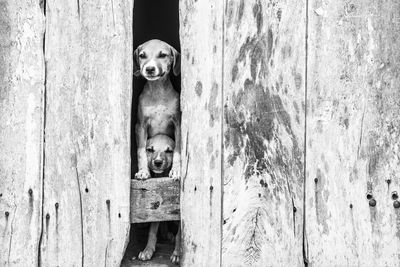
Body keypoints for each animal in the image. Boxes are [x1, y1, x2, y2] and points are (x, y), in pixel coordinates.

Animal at [134, 39, 181, 181]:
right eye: (142, 55)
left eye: (162, 55)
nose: (149, 69)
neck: (158, 90)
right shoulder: (140, 126)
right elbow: (141, 151)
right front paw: (143, 171)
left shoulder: (177, 124)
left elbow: (178, 150)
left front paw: (176, 170)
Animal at [138, 135, 180, 264]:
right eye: (150, 150)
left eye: (169, 151)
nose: (157, 162)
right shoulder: (156, 208)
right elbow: (152, 230)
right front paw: (148, 250)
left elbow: (180, 234)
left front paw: (177, 253)